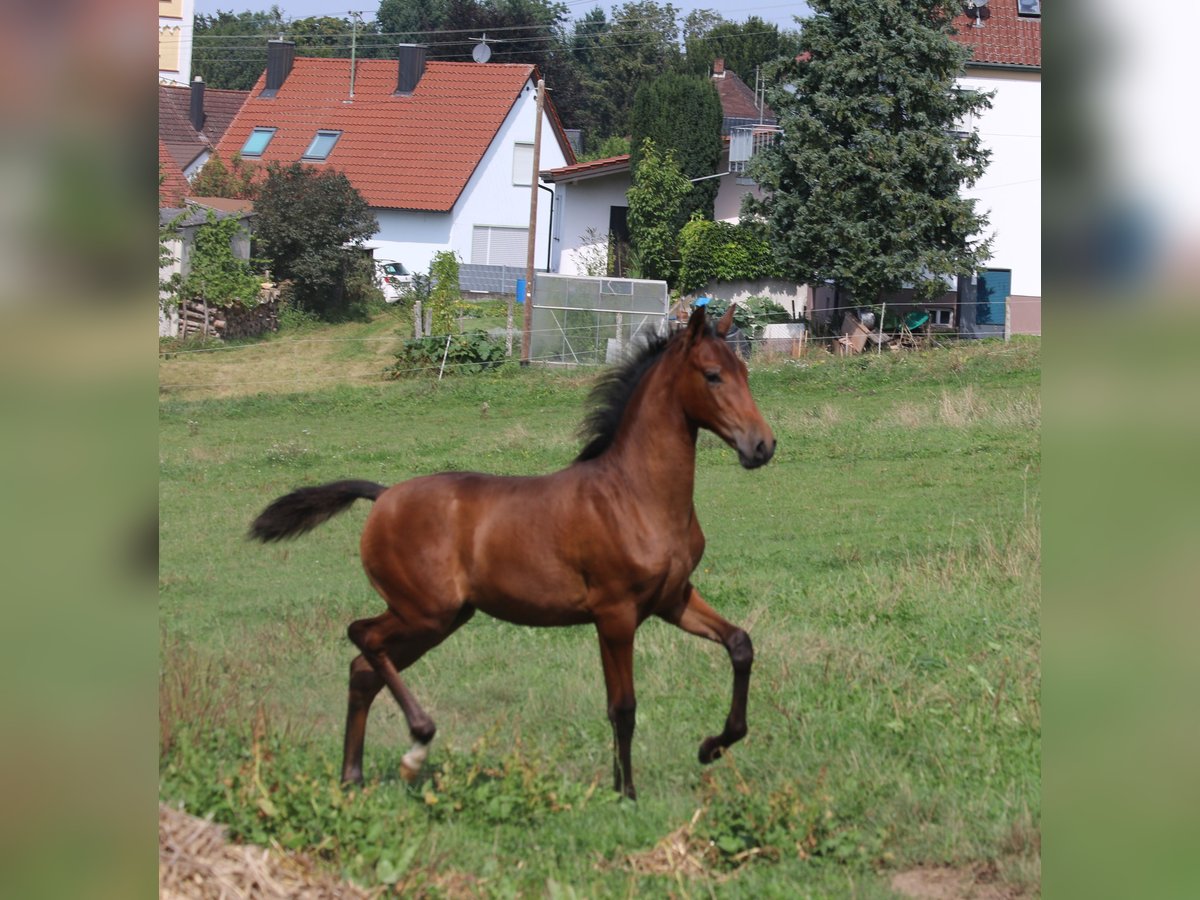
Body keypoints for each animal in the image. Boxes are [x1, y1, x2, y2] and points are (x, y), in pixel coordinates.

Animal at [253, 307, 777, 801]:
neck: (635, 494)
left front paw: (711, 746)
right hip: (424, 612)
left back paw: (353, 777)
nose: (762, 446)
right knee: (361, 636)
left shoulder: (673, 599)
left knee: (363, 669)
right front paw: (625, 792)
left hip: (439, 620)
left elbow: (740, 645)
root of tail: (382, 497)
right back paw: (416, 744)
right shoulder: (615, 614)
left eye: (745, 371)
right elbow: (622, 707)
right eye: (712, 375)